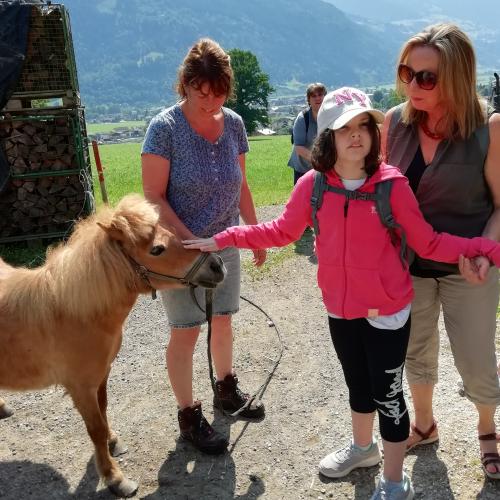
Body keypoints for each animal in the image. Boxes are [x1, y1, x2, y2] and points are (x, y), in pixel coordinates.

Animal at [0, 195, 225, 496]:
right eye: (157, 249)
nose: (217, 265)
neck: (74, 311)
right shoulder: (81, 387)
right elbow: (94, 428)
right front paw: (115, 478)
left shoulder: (102, 375)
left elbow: (104, 410)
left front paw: (112, 442)